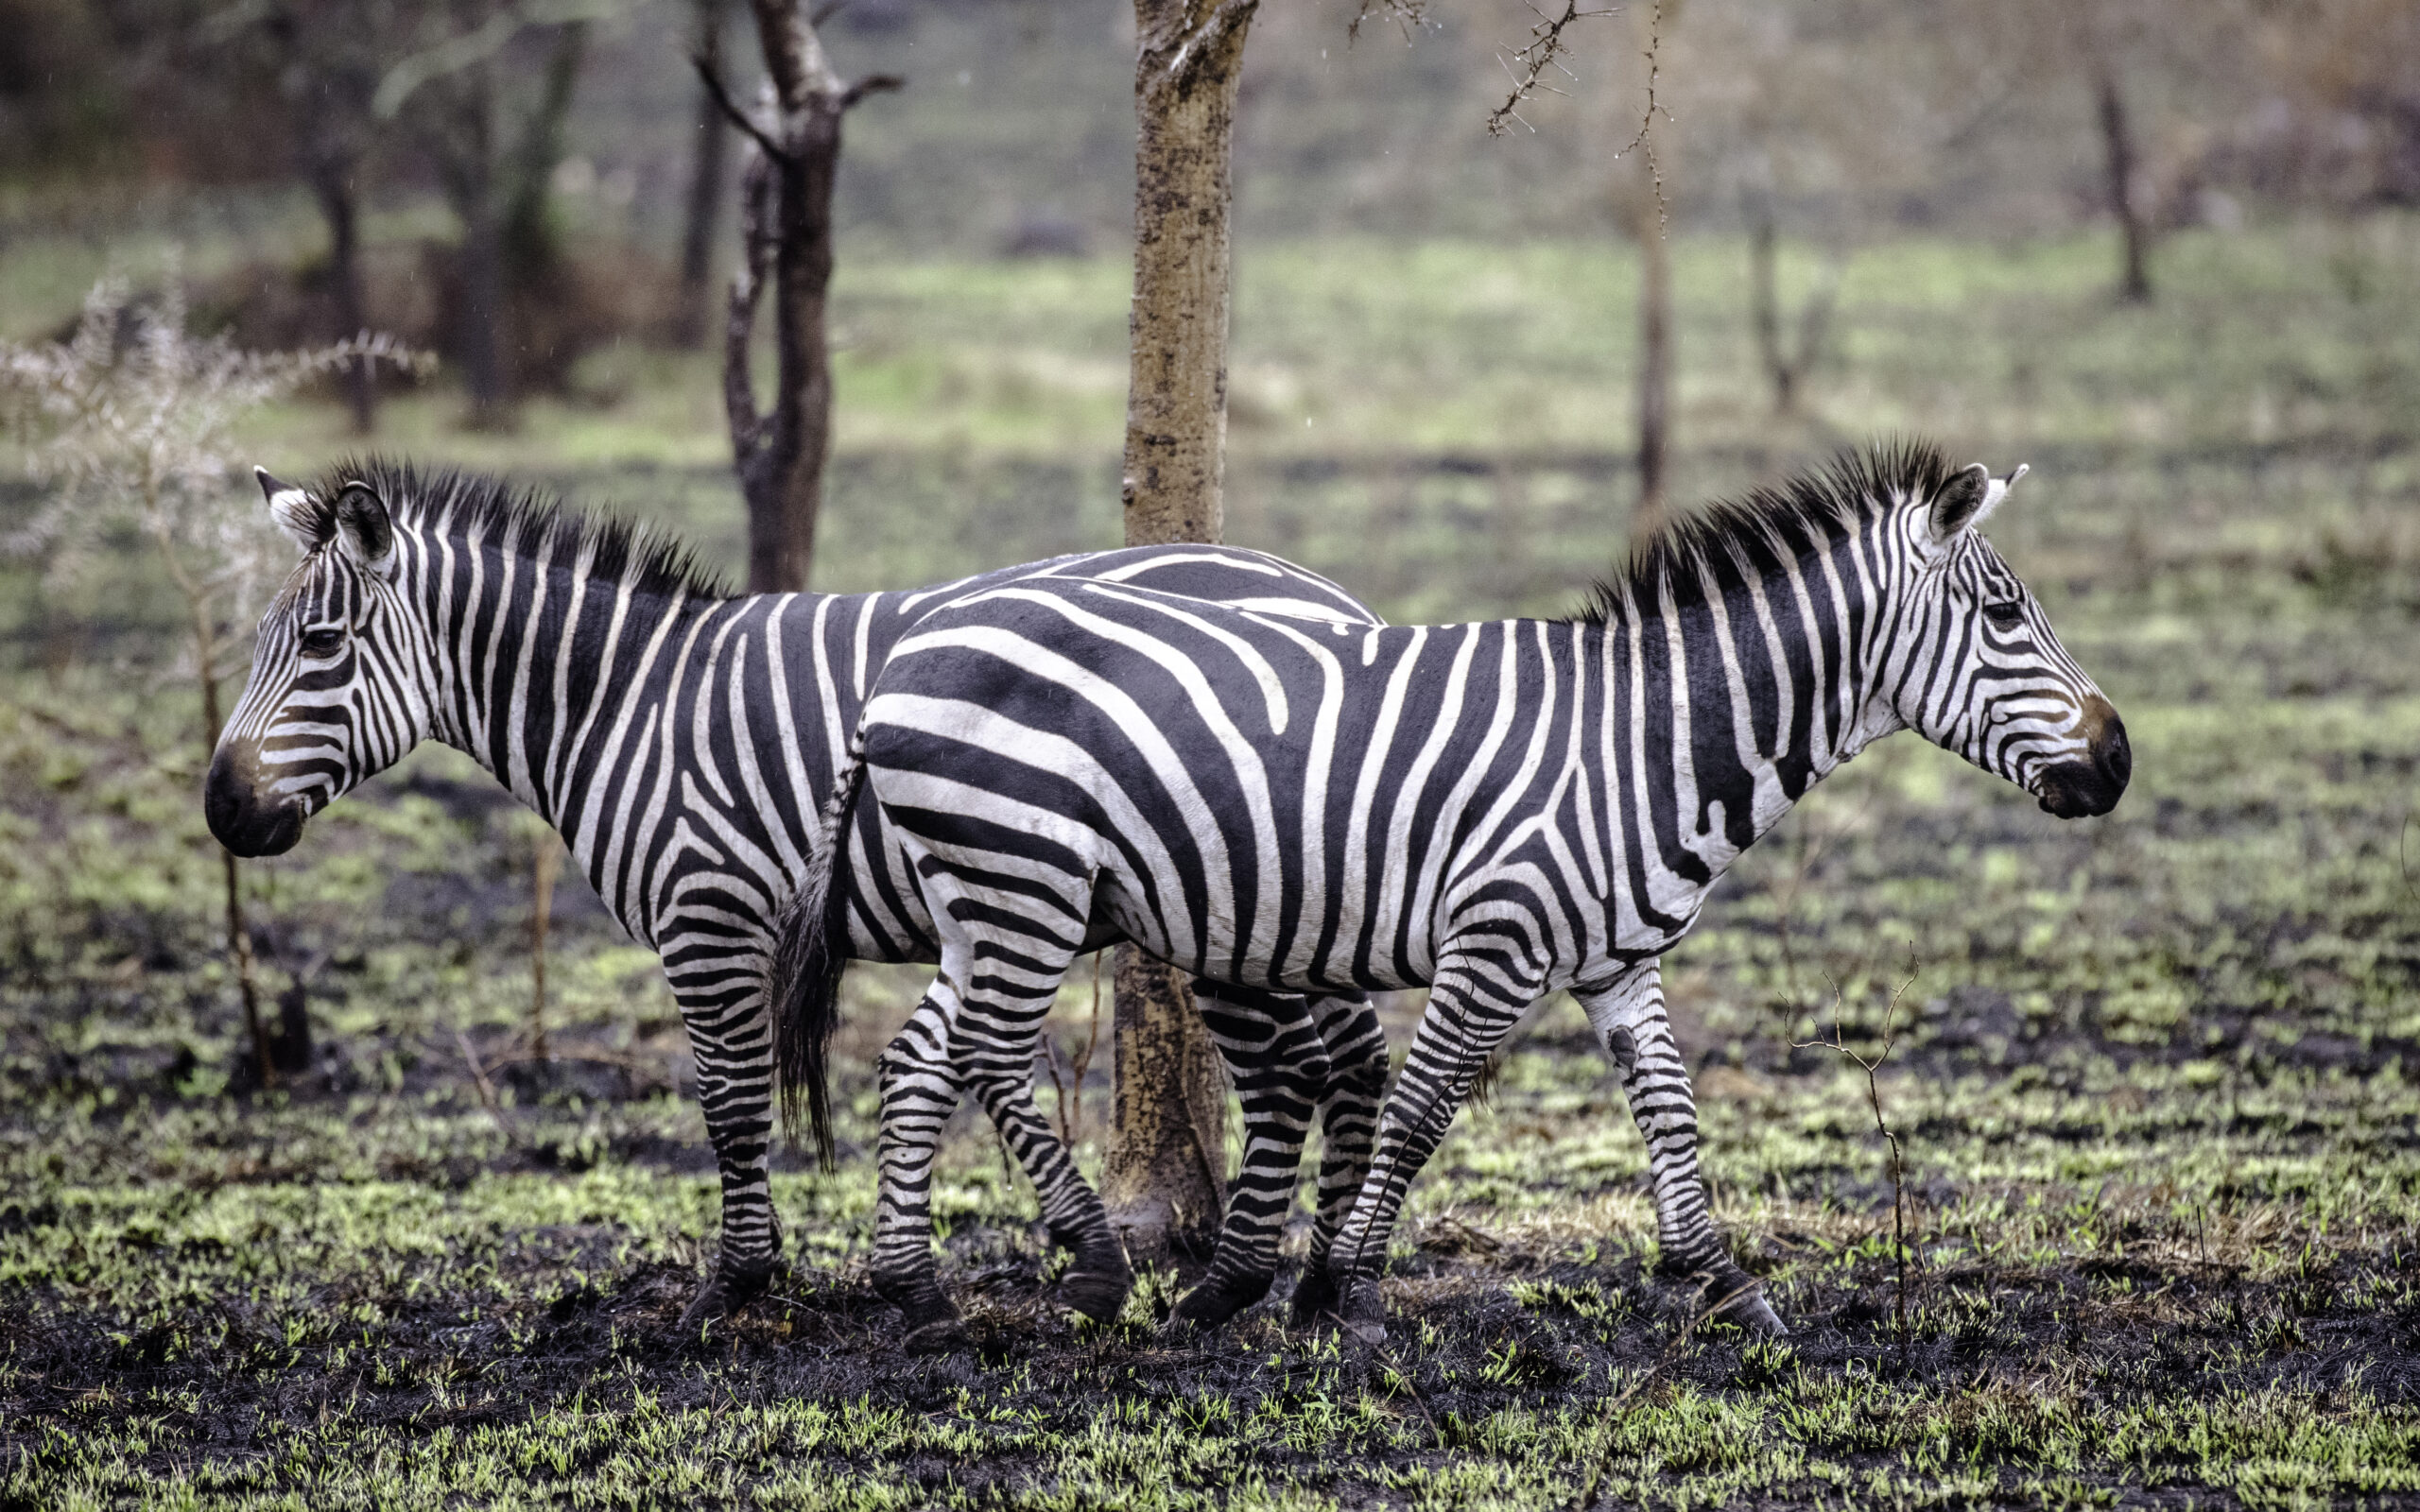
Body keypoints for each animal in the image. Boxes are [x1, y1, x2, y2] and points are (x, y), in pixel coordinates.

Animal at [202, 459, 1394, 1337]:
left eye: (320, 646)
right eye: (260, 644)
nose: (220, 810)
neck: (628, 704)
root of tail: (1334, 596)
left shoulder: (709, 917)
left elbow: (730, 1107)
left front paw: (734, 1285)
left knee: (1304, 1066)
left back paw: (1292, 1281)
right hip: (1301, 896)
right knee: (1353, 1059)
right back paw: (1325, 1284)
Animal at [771, 442, 2132, 1343]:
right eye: (2004, 612)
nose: (2119, 760)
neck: (1640, 743)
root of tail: (903, 653)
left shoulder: (1617, 962)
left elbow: (1671, 1110)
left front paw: (1725, 1281)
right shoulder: (1499, 939)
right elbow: (1423, 1109)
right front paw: (1342, 1289)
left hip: (989, 895)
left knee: (921, 1056)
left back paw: (914, 1290)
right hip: (1027, 880)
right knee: (991, 1054)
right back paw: (1095, 1270)